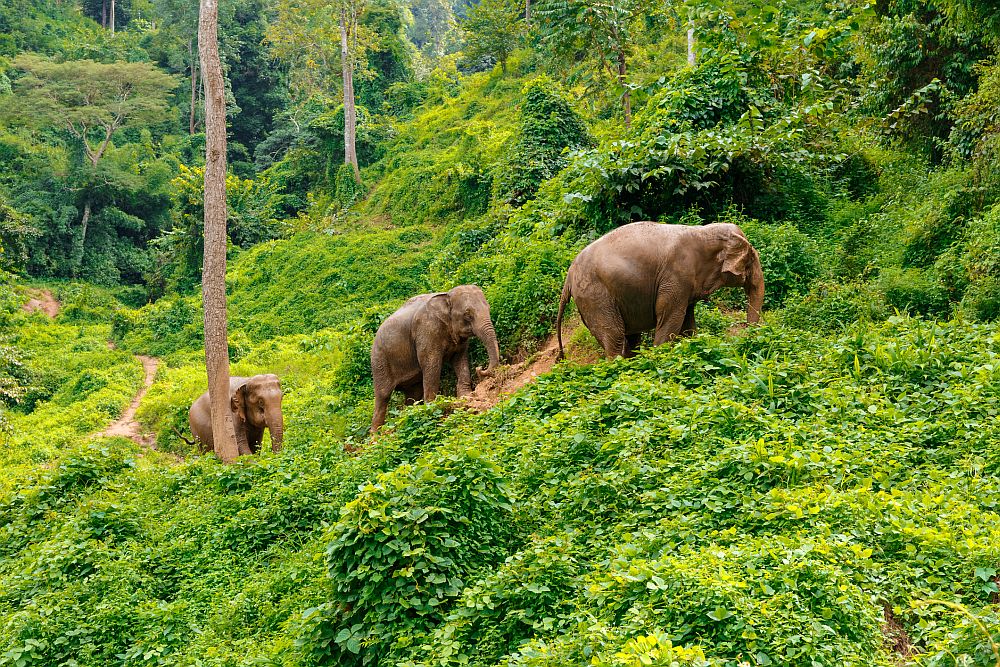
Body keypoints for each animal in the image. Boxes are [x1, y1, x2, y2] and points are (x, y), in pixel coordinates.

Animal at [556, 222, 764, 360]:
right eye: (750, 261)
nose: (745, 337)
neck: (702, 231)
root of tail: (569, 276)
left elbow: (687, 321)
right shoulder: (676, 275)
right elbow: (670, 315)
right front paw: (660, 355)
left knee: (629, 337)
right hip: (595, 296)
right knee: (615, 336)